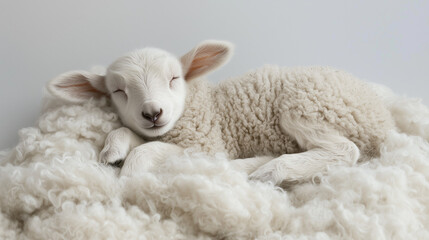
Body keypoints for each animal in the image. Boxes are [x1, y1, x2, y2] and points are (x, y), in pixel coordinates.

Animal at [47, 40, 394, 185]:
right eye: (118, 91)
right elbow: (130, 134)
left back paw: (269, 169)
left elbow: (147, 152)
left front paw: (129, 176)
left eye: (174, 78)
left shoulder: (206, 146)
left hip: (306, 105)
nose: (152, 112)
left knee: (345, 150)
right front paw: (113, 151)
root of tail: (381, 119)